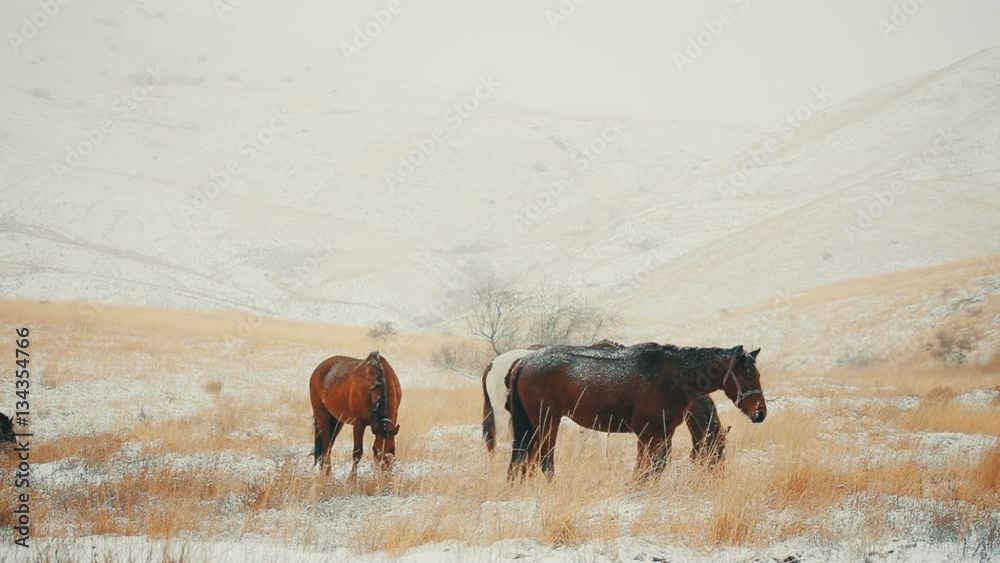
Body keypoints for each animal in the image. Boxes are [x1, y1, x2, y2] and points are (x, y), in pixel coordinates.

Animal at [506, 343, 764, 480]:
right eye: (746, 376)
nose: (760, 412)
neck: (674, 378)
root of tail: (524, 361)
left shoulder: (661, 433)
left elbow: (653, 465)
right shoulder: (649, 432)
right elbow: (649, 466)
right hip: (547, 421)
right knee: (543, 458)